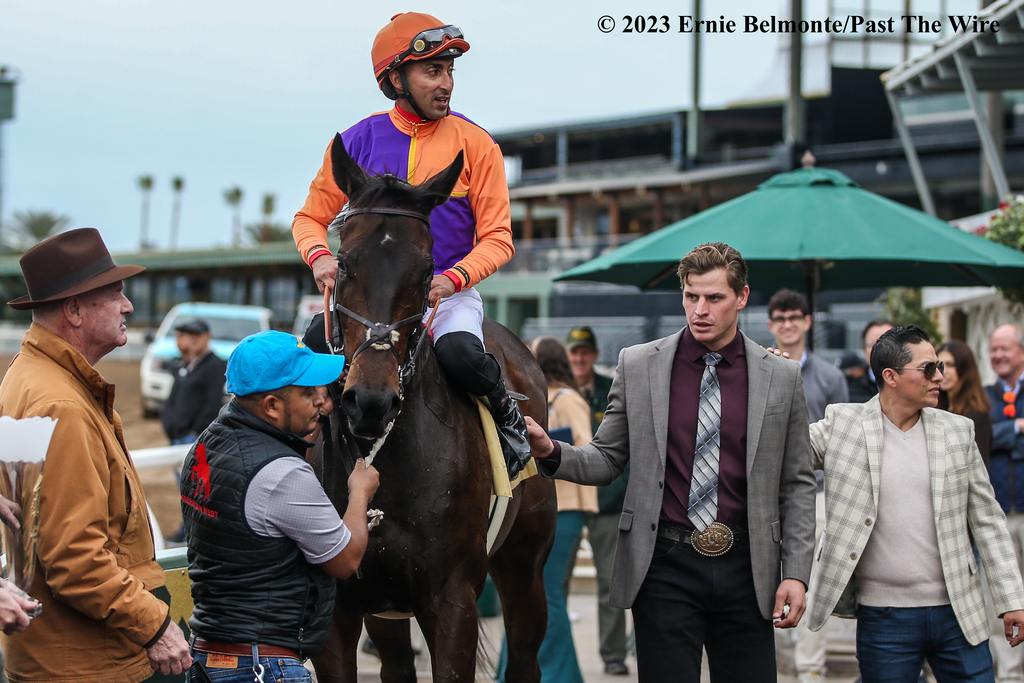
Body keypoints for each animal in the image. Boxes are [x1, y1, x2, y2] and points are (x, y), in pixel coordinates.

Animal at [311, 135, 557, 683]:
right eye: (345, 263)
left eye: (427, 272)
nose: (371, 401)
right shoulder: (338, 608)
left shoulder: (452, 600)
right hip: (385, 609)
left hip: (524, 567)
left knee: (526, 654)